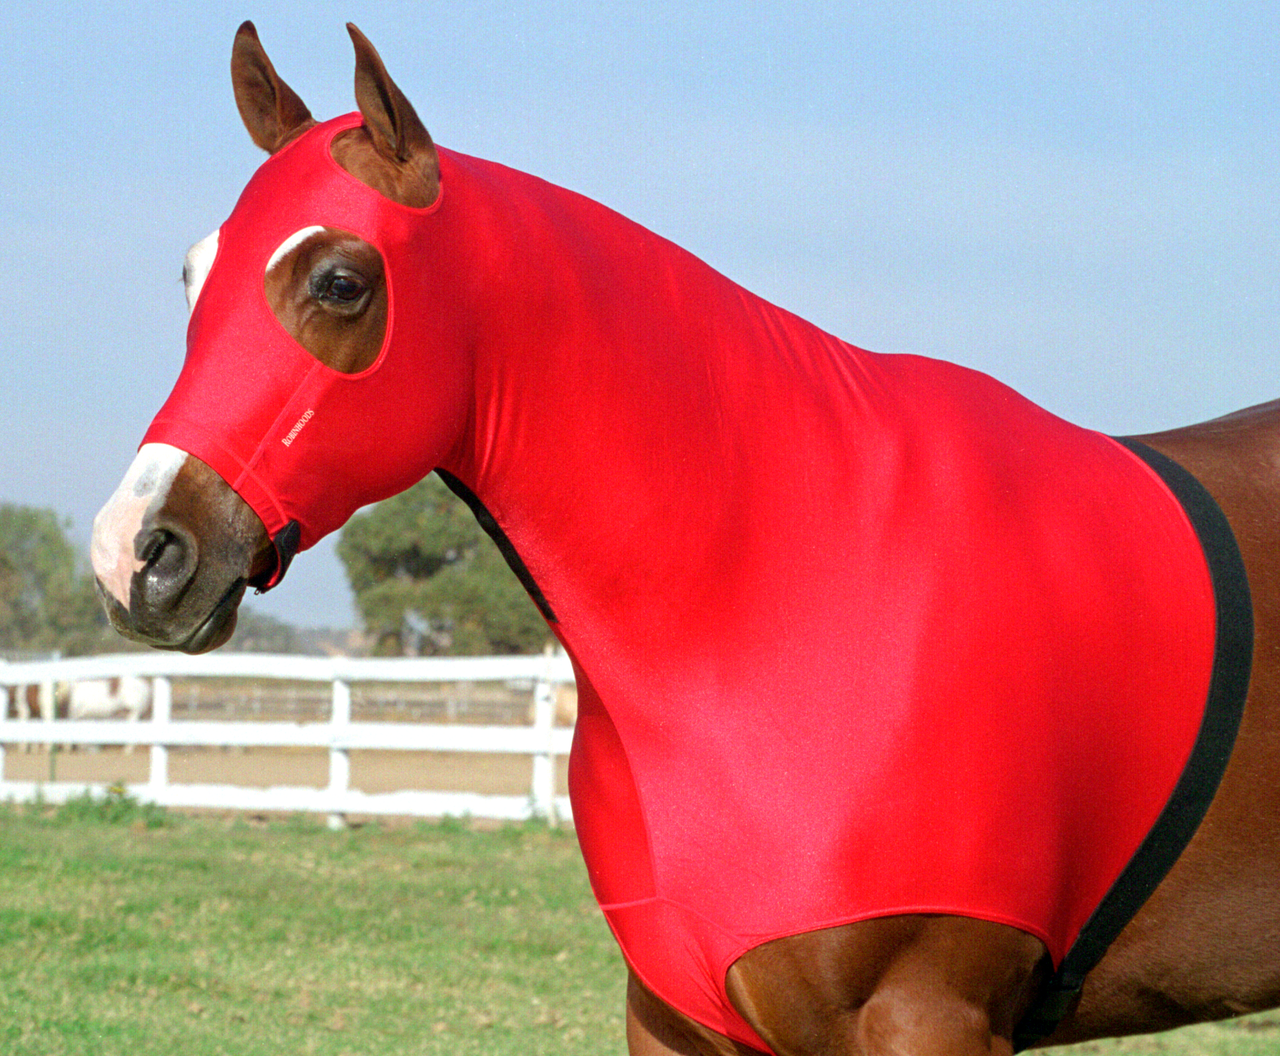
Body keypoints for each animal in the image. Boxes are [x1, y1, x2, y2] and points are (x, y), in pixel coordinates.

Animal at [89, 22, 1280, 1056]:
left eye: (341, 280)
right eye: (194, 273)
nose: (133, 551)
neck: (771, 587)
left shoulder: (928, 1017)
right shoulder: (673, 1019)